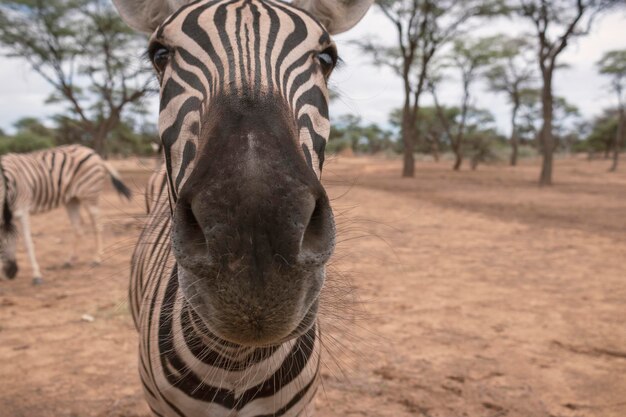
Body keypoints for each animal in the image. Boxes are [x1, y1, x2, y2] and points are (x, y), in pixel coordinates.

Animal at [0, 143, 132, 282]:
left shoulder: (22, 209)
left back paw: (97, 259)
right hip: (72, 199)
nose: (11, 273)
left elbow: (28, 243)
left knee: (97, 225)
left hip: (90, 195)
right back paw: (70, 261)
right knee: (78, 229)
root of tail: (95, 153)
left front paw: (37, 275)